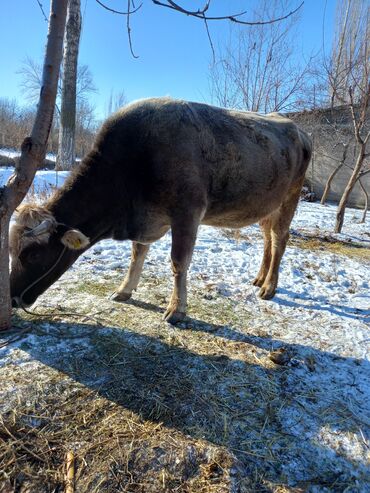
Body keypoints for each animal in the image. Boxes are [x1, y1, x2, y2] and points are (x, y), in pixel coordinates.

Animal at [8, 98, 310, 324]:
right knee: (268, 238)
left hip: (290, 196)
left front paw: (176, 309)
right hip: (267, 205)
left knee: (280, 239)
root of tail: (297, 127)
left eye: (32, 254)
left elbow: (179, 262)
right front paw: (124, 290)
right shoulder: (145, 218)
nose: (11, 297)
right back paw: (259, 279)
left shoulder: (187, 213)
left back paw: (269, 287)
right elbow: (136, 255)